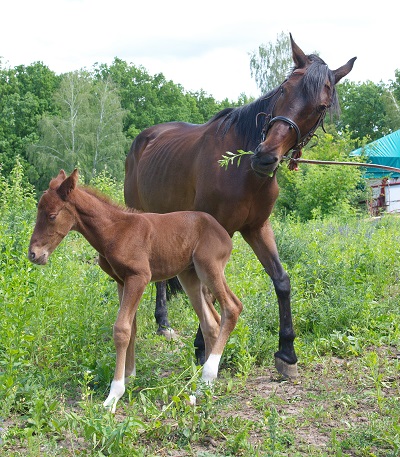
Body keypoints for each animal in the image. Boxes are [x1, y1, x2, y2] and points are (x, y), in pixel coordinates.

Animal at [28, 169, 241, 412]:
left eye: (52, 215)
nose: (33, 254)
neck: (114, 230)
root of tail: (224, 234)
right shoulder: (122, 281)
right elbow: (132, 328)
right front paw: (129, 377)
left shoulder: (139, 278)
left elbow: (121, 329)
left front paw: (114, 394)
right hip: (190, 276)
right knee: (210, 322)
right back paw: (202, 389)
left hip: (209, 266)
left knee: (232, 308)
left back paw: (208, 376)